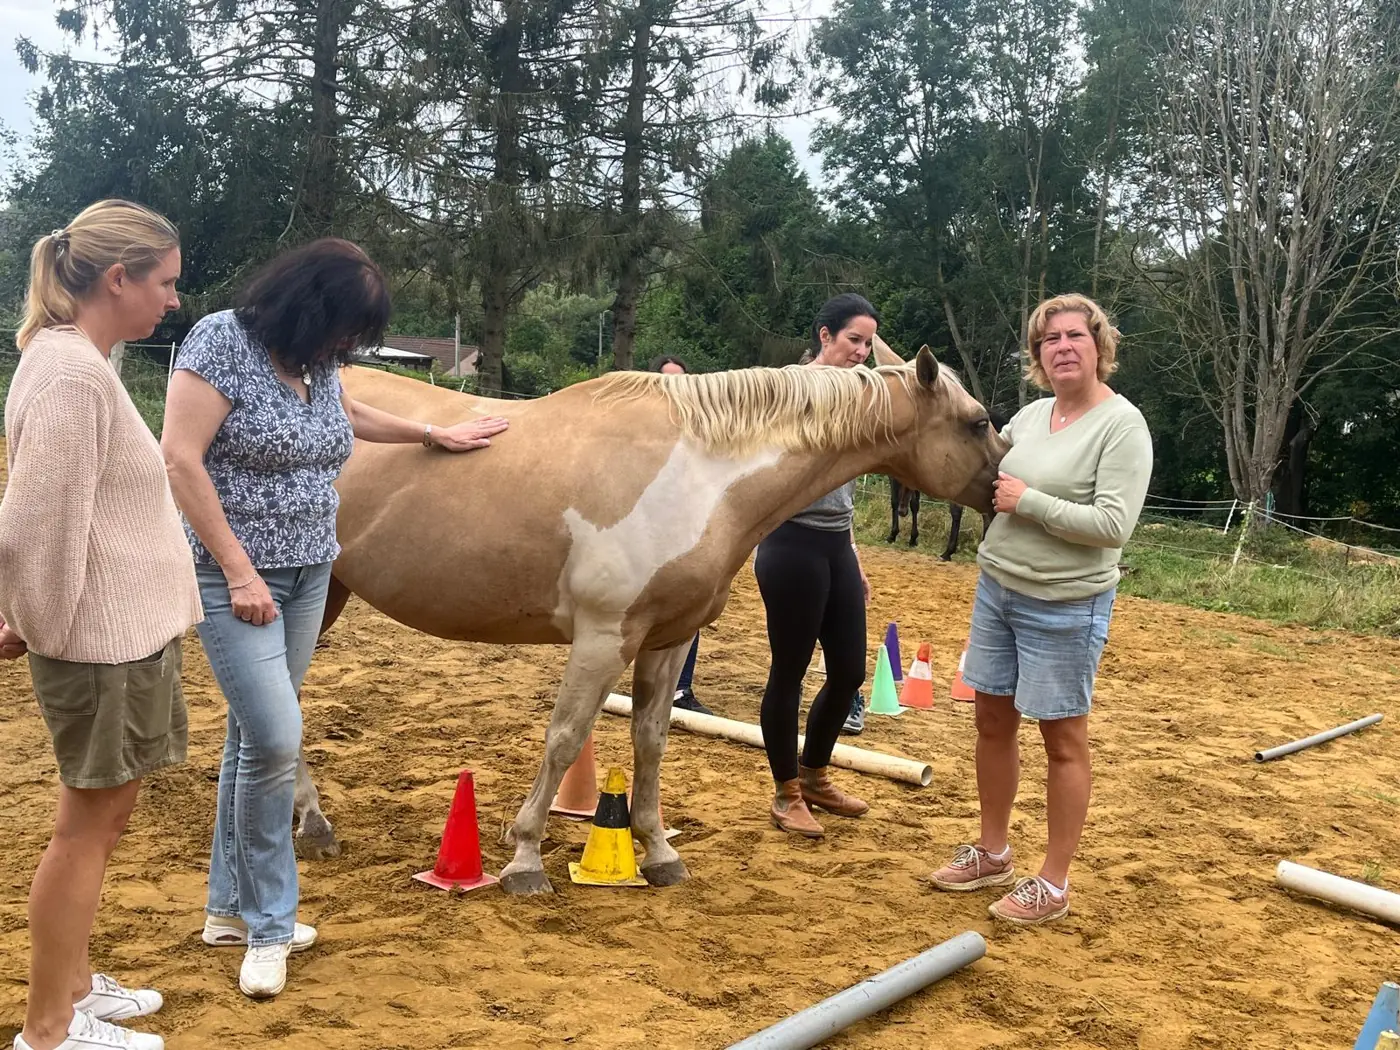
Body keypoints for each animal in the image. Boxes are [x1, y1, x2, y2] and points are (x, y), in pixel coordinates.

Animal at [291, 348, 1006, 893]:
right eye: (977, 422)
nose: (1005, 493)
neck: (703, 474)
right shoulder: (604, 639)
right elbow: (564, 739)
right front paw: (524, 859)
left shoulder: (668, 639)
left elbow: (651, 741)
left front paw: (658, 852)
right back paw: (311, 825)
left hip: (325, 597)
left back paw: (309, 823)